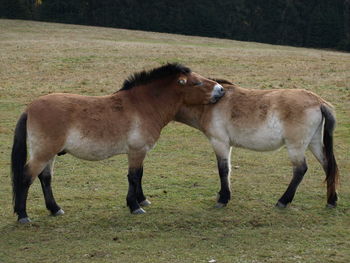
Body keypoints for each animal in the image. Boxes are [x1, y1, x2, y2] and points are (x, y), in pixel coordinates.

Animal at [11, 63, 224, 223]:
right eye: (197, 82)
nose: (221, 89)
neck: (144, 105)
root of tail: (30, 108)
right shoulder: (136, 151)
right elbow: (134, 177)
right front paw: (135, 206)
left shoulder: (140, 151)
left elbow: (140, 175)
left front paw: (142, 200)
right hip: (43, 153)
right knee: (26, 177)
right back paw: (23, 216)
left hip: (50, 154)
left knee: (45, 178)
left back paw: (55, 209)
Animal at [175, 79, 340, 209]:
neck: (210, 104)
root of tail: (319, 102)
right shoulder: (227, 145)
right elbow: (227, 169)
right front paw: (222, 194)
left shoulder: (219, 142)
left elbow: (223, 170)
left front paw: (223, 199)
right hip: (314, 143)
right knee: (327, 165)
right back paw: (331, 200)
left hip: (296, 147)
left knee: (300, 169)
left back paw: (283, 201)